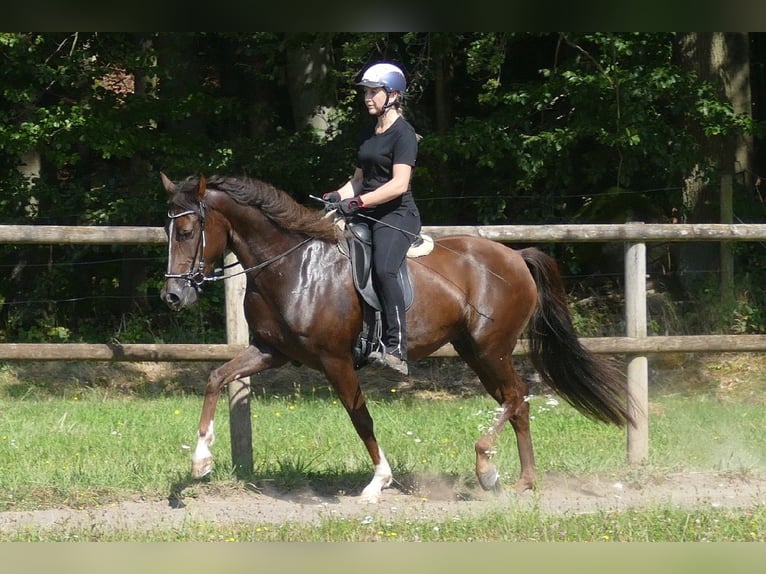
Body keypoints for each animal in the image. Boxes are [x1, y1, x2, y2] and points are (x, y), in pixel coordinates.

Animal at [159, 172, 632, 504]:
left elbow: (360, 418)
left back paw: (487, 468)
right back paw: (523, 480)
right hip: (475, 351)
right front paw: (200, 461)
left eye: (187, 232)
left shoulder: (335, 360)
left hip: (489, 348)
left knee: (516, 397)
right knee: (517, 403)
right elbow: (216, 378)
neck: (292, 266)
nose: (173, 296)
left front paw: (378, 482)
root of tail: (515, 255)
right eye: (167, 232)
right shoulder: (270, 351)